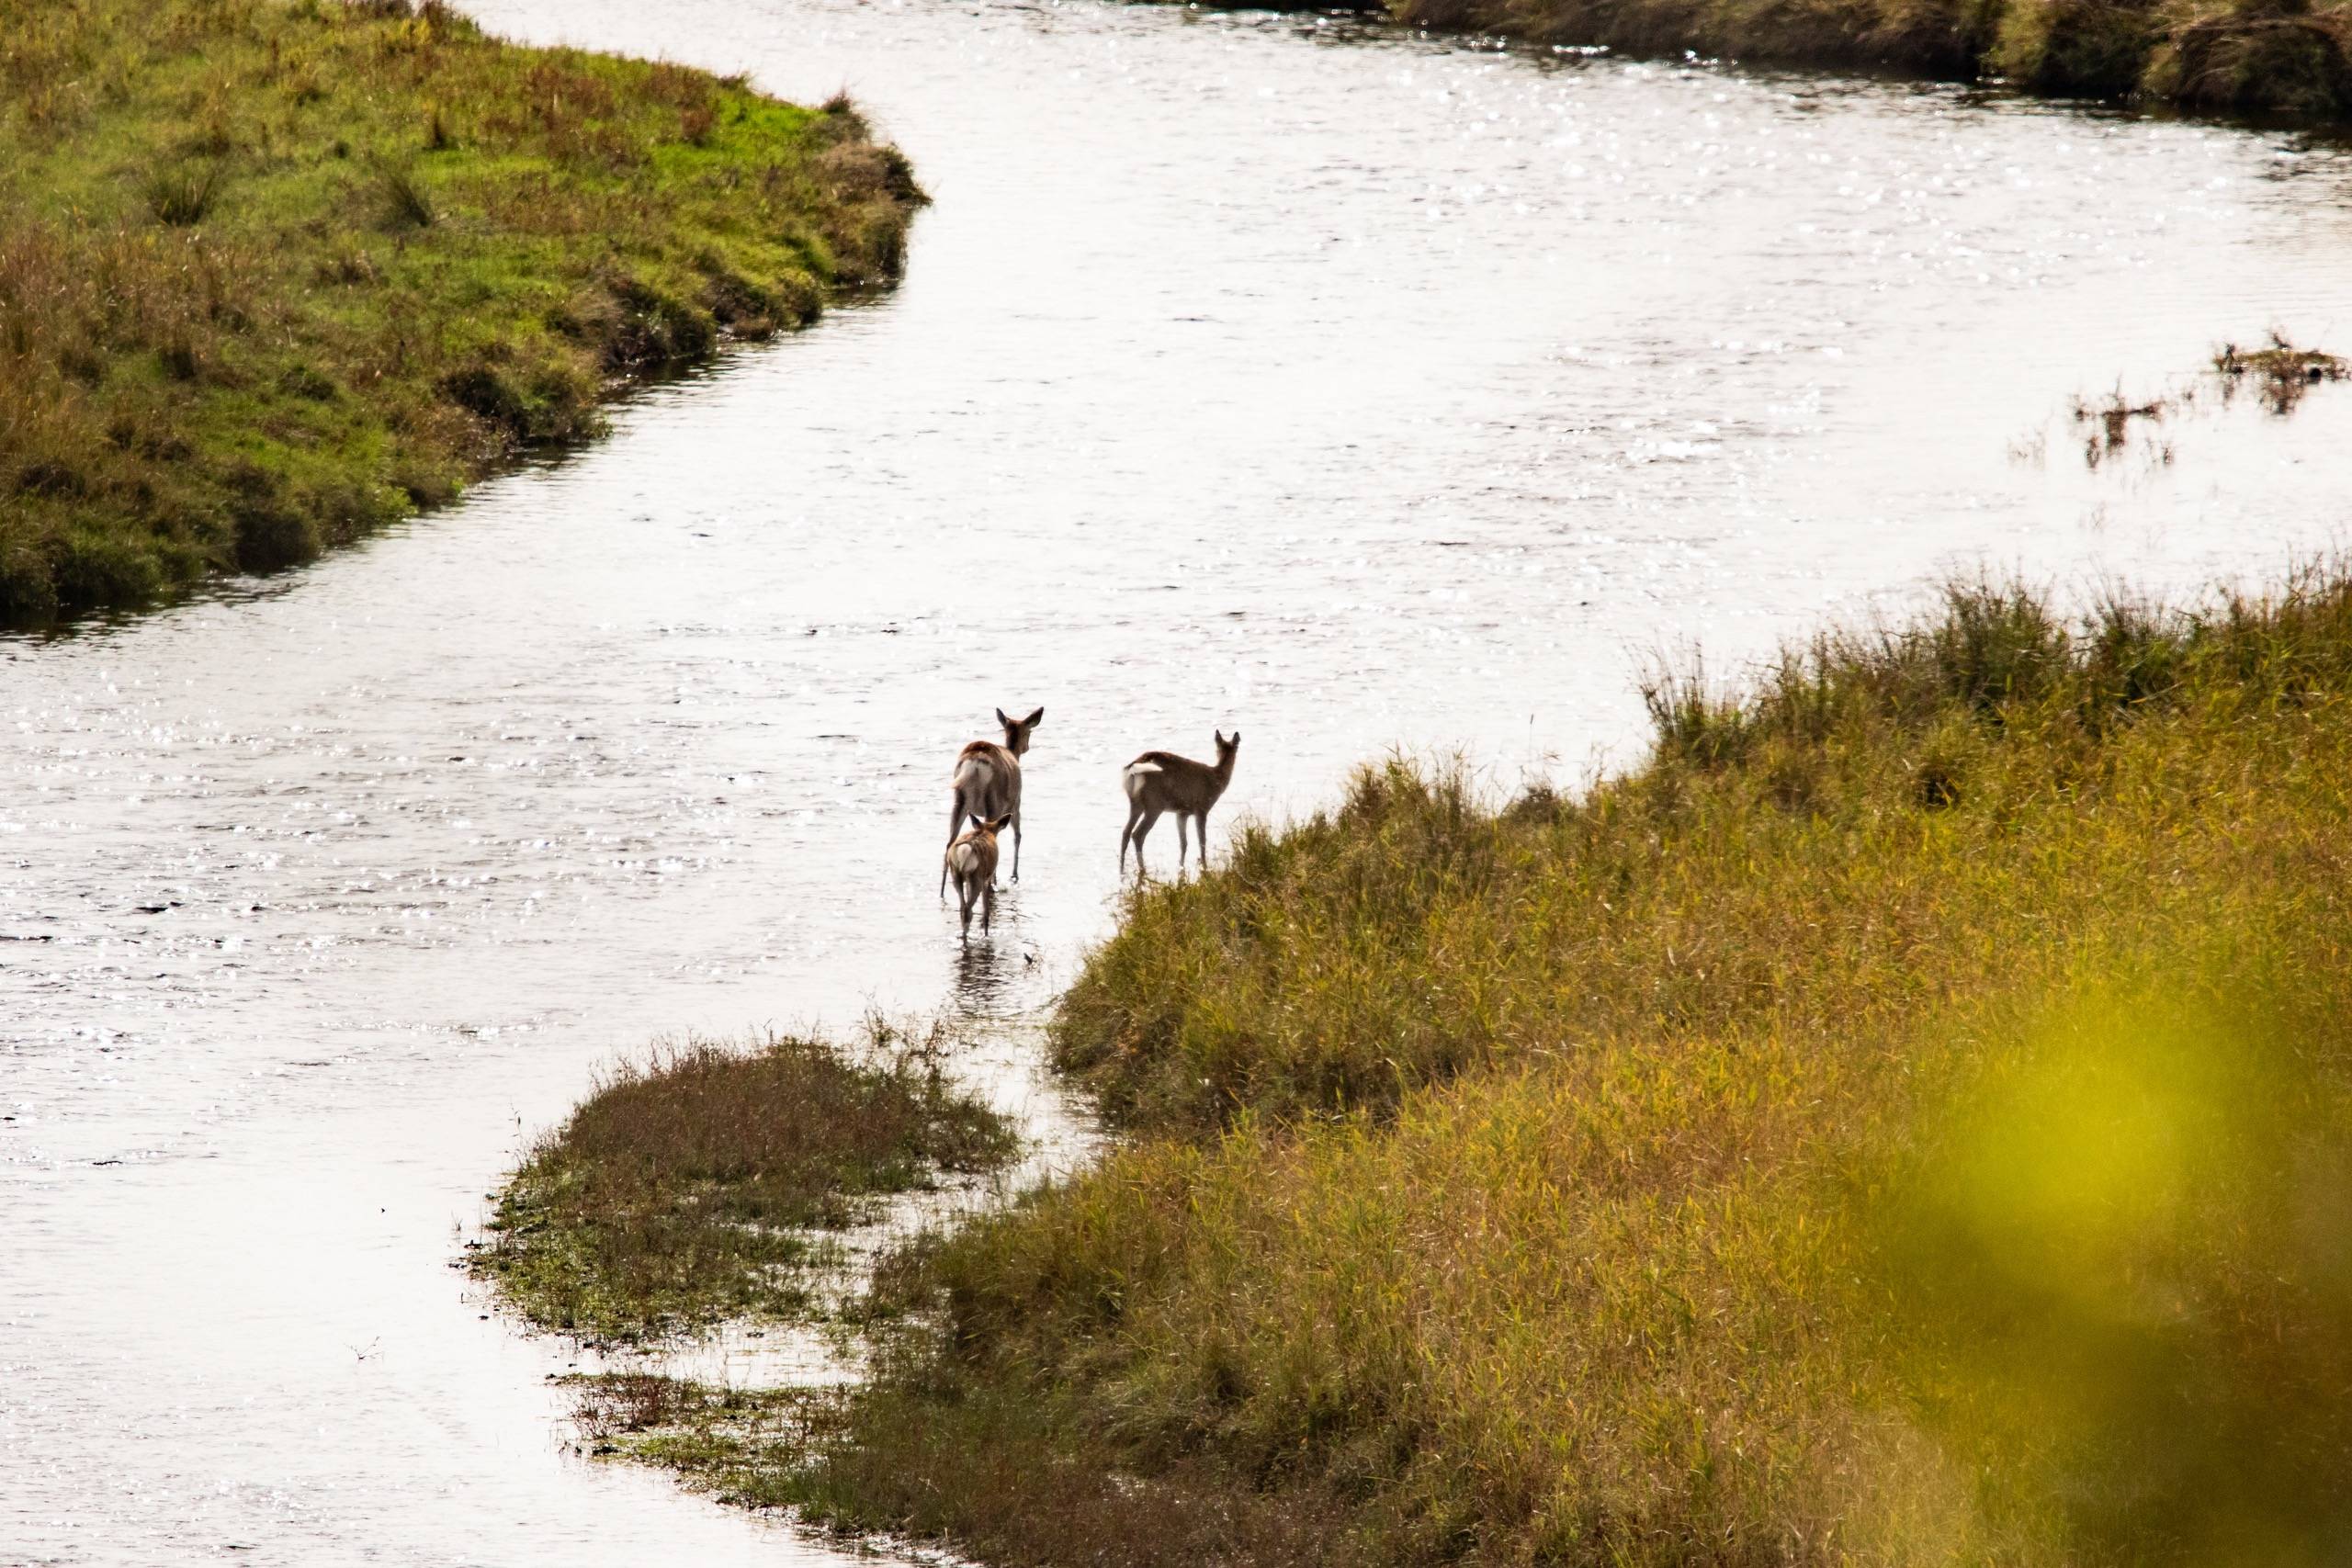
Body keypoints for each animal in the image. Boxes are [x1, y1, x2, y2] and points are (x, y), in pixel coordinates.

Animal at [940, 706, 1042, 897]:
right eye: (1029, 732)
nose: (1027, 746)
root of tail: (974, 763)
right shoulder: (1015, 802)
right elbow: (1018, 835)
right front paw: (1014, 876)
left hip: (959, 799)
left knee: (949, 843)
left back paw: (942, 892)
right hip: (993, 801)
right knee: (992, 836)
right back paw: (991, 885)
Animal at [945, 812, 1014, 942]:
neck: (987, 830)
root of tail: (965, 850)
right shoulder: (987, 878)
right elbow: (986, 911)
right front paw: (986, 933)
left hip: (956, 874)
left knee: (963, 907)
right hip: (977, 877)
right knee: (968, 909)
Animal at [1119, 729, 1239, 880]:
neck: (1217, 778)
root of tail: (1133, 768)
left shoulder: (1182, 812)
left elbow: (1184, 843)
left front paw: (1181, 867)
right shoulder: (1202, 808)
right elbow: (1202, 841)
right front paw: (1204, 866)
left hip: (1136, 803)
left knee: (1126, 832)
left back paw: (1122, 869)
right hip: (1154, 805)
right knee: (1138, 834)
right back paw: (1143, 868)